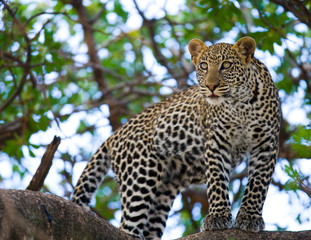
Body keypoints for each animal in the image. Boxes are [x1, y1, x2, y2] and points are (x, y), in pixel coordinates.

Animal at [72, 36, 282, 239]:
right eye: (203, 66)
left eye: (227, 65)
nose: (211, 86)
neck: (241, 105)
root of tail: (113, 136)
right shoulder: (216, 142)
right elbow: (217, 181)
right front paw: (218, 217)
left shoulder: (266, 144)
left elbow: (258, 184)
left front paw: (249, 218)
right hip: (140, 177)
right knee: (128, 225)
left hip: (163, 194)